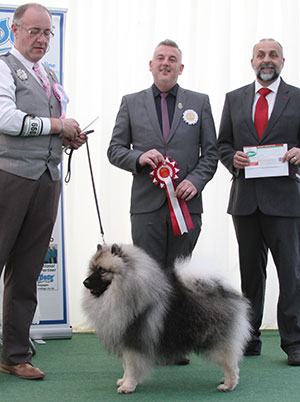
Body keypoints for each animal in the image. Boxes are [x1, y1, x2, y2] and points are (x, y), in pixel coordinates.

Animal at [82, 243, 251, 394]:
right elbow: (125, 366)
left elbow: (131, 367)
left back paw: (229, 384)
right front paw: (123, 381)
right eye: (91, 269)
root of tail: (225, 293)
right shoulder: (123, 340)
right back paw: (225, 380)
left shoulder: (133, 341)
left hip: (215, 343)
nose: (85, 282)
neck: (124, 291)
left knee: (231, 364)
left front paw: (128, 386)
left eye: (102, 270)